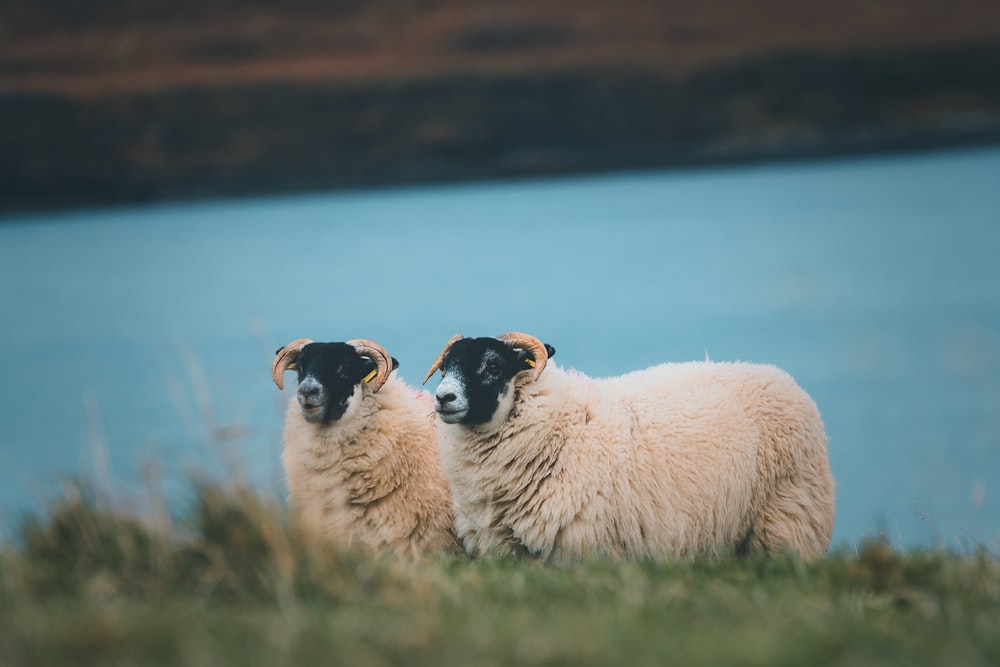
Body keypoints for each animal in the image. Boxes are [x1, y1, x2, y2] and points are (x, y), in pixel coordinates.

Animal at [422, 332, 836, 560]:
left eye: (493, 367)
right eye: (445, 368)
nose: (443, 398)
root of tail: (781, 377)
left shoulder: (586, 545)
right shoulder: (505, 550)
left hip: (787, 519)